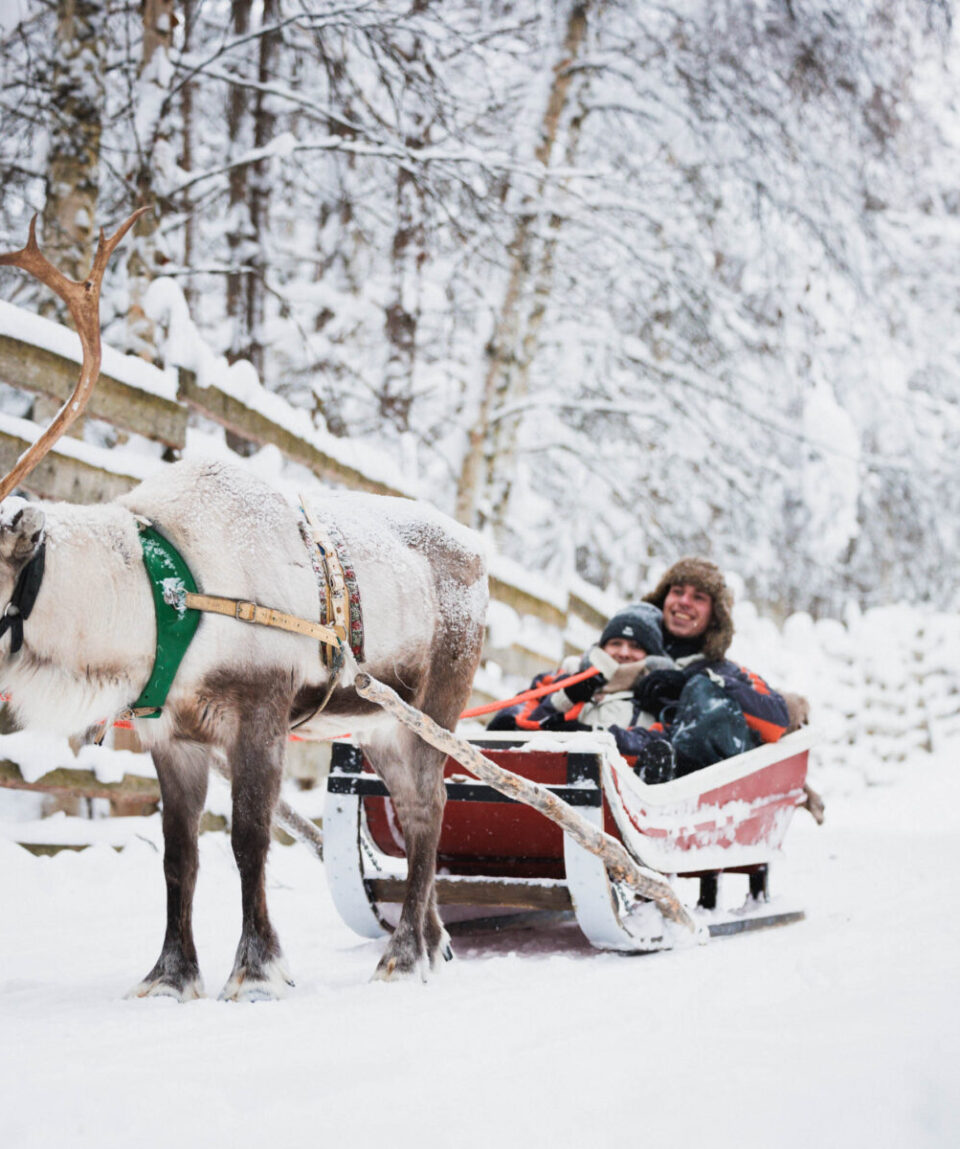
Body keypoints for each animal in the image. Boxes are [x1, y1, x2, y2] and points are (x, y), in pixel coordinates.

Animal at [0, 213, 488, 1000]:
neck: (158, 598)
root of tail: (479, 550)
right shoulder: (169, 733)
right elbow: (179, 856)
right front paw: (170, 975)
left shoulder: (260, 707)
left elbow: (248, 839)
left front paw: (256, 969)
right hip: (378, 722)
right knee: (419, 808)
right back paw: (433, 942)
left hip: (436, 707)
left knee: (433, 807)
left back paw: (402, 954)